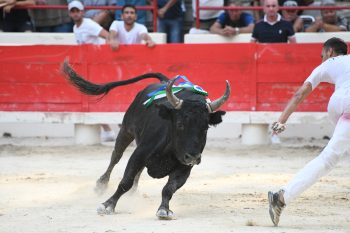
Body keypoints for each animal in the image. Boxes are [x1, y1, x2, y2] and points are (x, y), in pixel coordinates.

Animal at [61, 60, 231, 220]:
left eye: (205, 127)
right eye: (180, 124)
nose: (193, 157)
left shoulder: (184, 168)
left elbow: (169, 188)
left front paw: (164, 209)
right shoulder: (139, 154)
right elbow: (125, 182)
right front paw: (107, 205)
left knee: (139, 170)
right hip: (126, 130)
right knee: (116, 156)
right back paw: (101, 185)